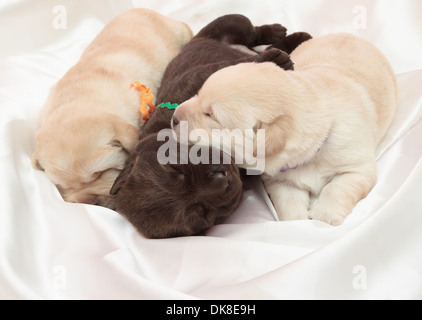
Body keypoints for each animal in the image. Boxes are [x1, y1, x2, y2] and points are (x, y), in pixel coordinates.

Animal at [30, 8, 192, 209]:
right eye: (62, 186)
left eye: (100, 173)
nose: (88, 202)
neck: (79, 98)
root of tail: (140, 9)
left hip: (179, 31)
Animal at [109, 14, 310, 238]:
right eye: (201, 214)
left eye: (175, 167)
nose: (221, 176)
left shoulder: (198, 78)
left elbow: (229, 72)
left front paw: (272, 61)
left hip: (228, 24)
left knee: (252, 34)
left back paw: (285, 37)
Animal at [171, 33, 396, 225]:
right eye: (197, 95)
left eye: (211, 116)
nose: (173, 118)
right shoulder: (280, 182)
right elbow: (289, 202)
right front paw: (296, 223)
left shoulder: (358, 168)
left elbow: (337, 187)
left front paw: (325, 216)